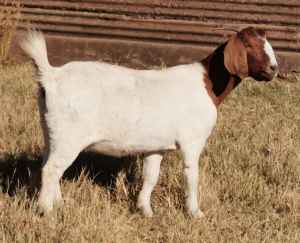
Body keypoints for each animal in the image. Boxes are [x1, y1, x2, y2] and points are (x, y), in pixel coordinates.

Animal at [20, 26, 278, 218]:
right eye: (250, 46)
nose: (274, 69)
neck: (207, 84)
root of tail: (51, 76)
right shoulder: (192, 141)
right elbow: (191, 175)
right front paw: (195, 213)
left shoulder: (157, 145)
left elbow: (150, 176)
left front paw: (145, 210)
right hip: (69, 135)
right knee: (52, 169)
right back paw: (46, 210)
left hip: (51, 131)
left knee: (48, 166)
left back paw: (59, 203)